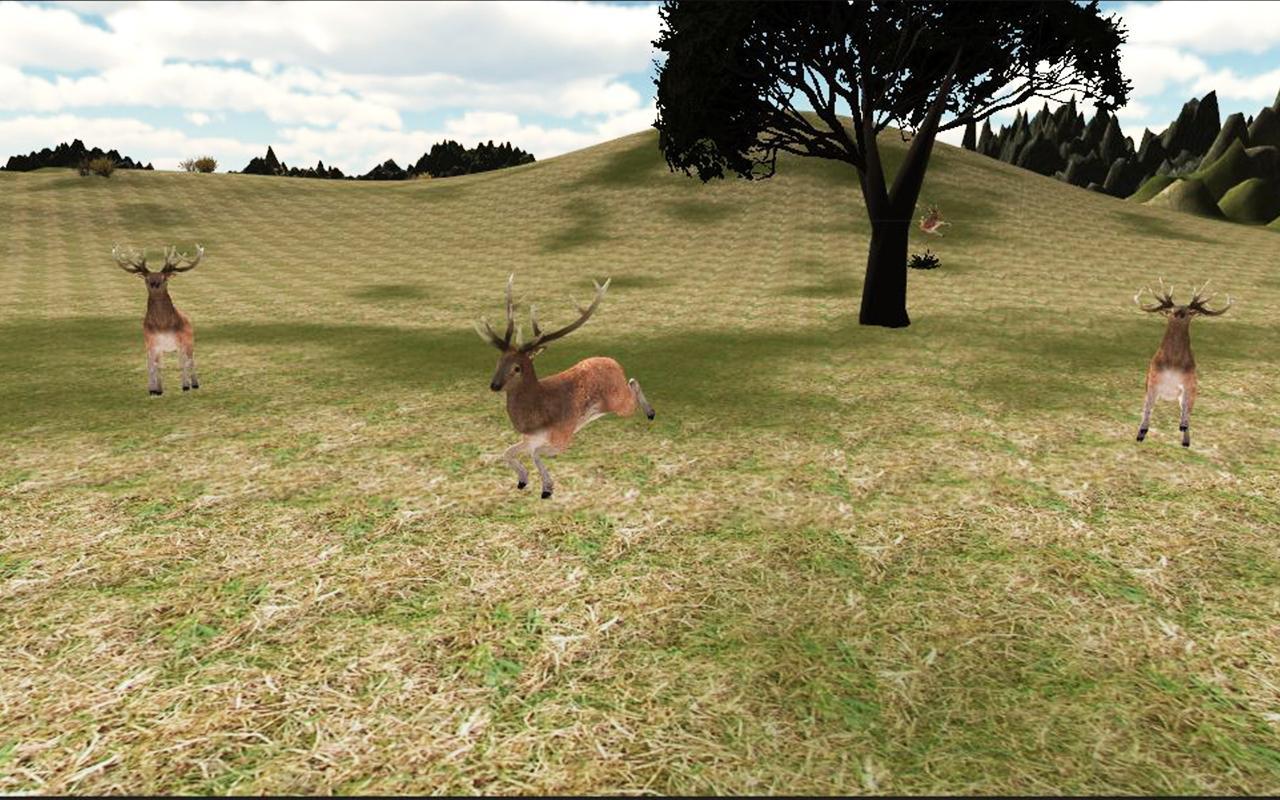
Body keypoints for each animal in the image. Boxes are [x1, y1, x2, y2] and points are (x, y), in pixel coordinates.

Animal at [111, 244, 205, 396]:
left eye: (164, 278)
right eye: (146, 278)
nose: (154, 283)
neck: (162, 326)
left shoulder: (181, 340)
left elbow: (183, 364)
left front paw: (185, 386)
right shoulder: (151, 342)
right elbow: (154, 366)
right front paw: (155, 390)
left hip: (189, 340)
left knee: (190, 360)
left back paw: (194, 384)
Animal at [474, 275, 655, 499]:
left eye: (517, 367)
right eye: (499, 361)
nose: (494, 385)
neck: (535, 418)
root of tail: (613, 361)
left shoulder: (563, 435)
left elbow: (535, 454)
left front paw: (546, 489)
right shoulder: (529, 438)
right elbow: (506, 453)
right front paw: (523, 480)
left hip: (620, 404)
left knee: (633, 384)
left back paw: (650, 412)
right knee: (631, 381)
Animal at [1133, 279, 1232, 447]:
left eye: (1190, 312)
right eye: (1171, 310)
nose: (1179, 312)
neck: (1173, 364)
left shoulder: (1188, 384)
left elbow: (1185, 411)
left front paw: (1183, 430)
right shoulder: (1152, 380)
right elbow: (1147, 408)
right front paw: (1141, 433)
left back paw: (1186, 440)